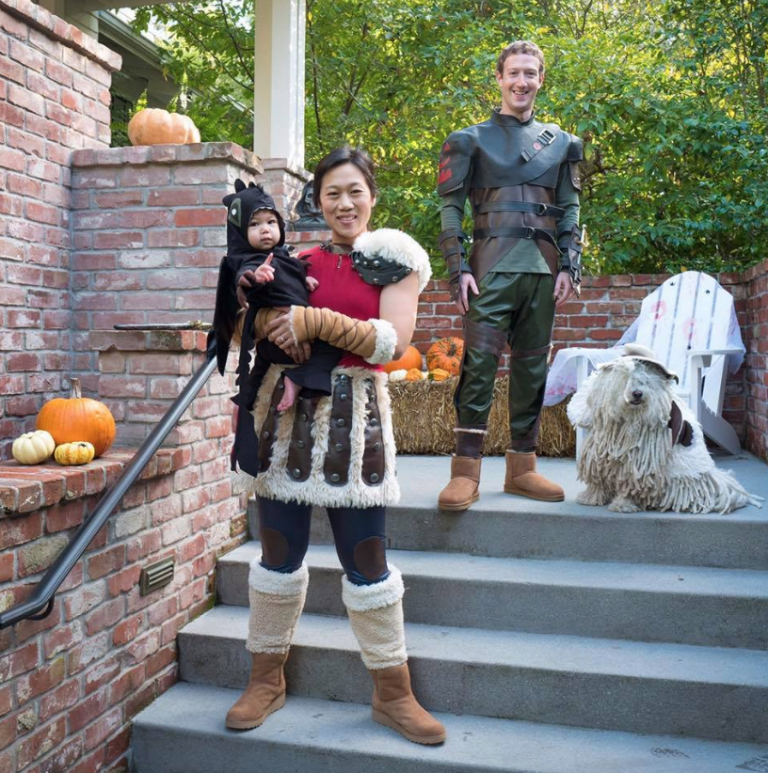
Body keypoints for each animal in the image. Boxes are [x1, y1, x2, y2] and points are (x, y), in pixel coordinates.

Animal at [568, 344, 760, 512]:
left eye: (645, 381)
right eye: (625, 379)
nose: (637, 393)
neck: (628, 421)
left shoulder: (637, 466)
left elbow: (631, 485)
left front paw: (623, 505)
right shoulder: (598, 456)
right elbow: (597, 479)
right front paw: (590, 498)